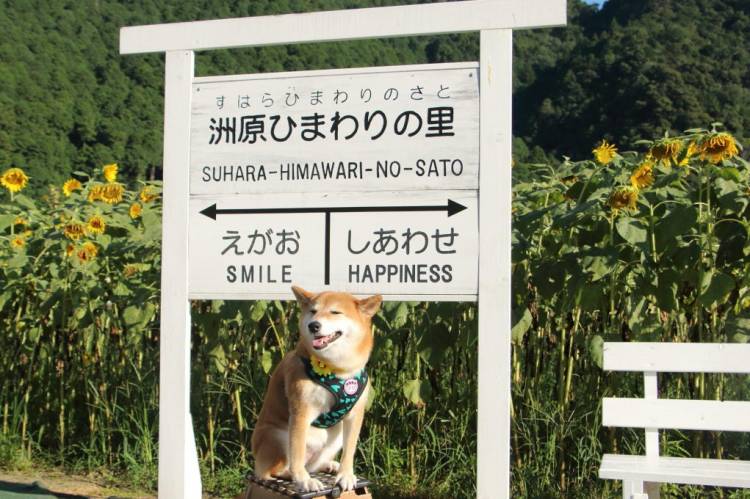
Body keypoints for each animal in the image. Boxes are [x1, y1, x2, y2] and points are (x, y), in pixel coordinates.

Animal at [251, 286, 382, 492]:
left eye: (335, 312)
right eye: (313, 311)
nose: (313, 325)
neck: (339, 370)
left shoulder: (355, 415)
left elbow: (350, 450)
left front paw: (346, 474)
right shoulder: (301, 411)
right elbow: (296, 452)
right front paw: (303, 480)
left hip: (335, 437)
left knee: (314, 465)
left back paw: (330, 465)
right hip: (278, 437)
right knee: (275, 470)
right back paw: (297, 475)